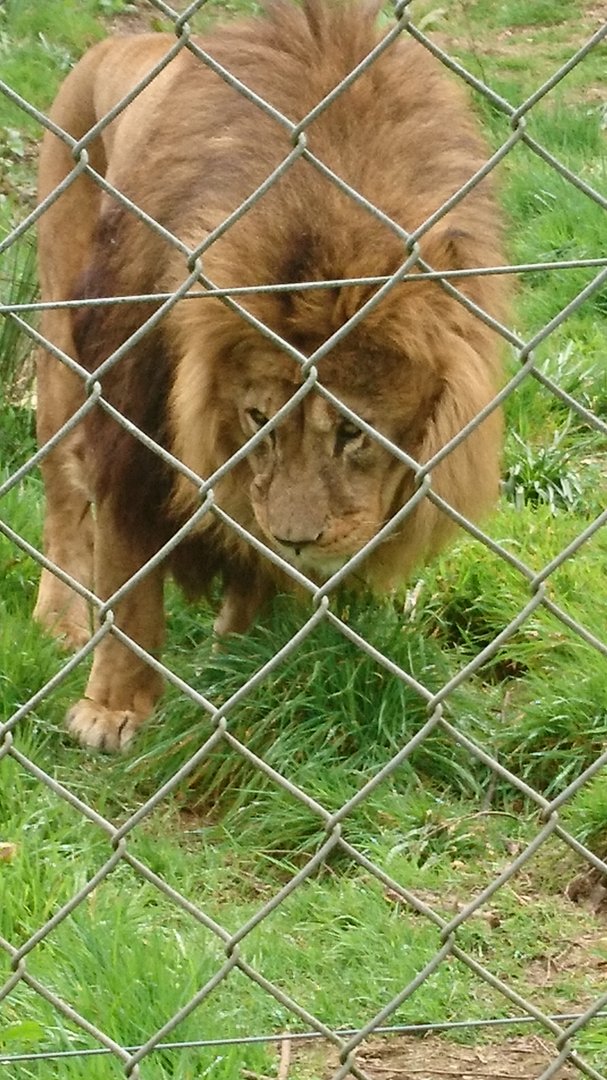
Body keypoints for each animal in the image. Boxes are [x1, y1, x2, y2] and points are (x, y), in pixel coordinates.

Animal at [34, 0, 507, 750]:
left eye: (353, 432)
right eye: (258, 419)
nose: (298, 538)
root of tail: (117, 46)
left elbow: (256, 578)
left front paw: (241, 665)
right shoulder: (133, 425)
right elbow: (129, 581)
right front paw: (111, 710)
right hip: (61, 347)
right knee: (60, 494)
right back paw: (59, 619)